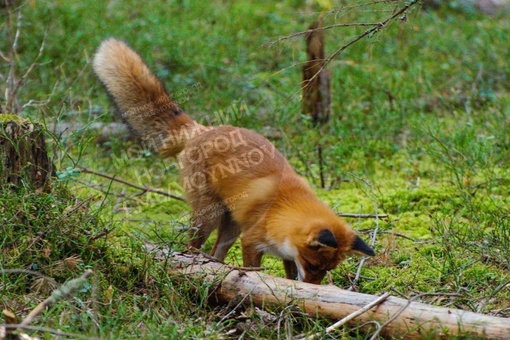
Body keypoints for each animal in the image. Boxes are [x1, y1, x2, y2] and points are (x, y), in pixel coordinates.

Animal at [92, 37, 374, 284]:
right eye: (314, 265)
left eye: (327, 270)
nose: (315, 287)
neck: (284, 208)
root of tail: (203, 129)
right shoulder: (250, 240)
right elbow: (253, 270)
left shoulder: (285, 253)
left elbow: (289, 271)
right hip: (208, 217)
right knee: (191, 246)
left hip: (230, 225)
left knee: (215, 255)